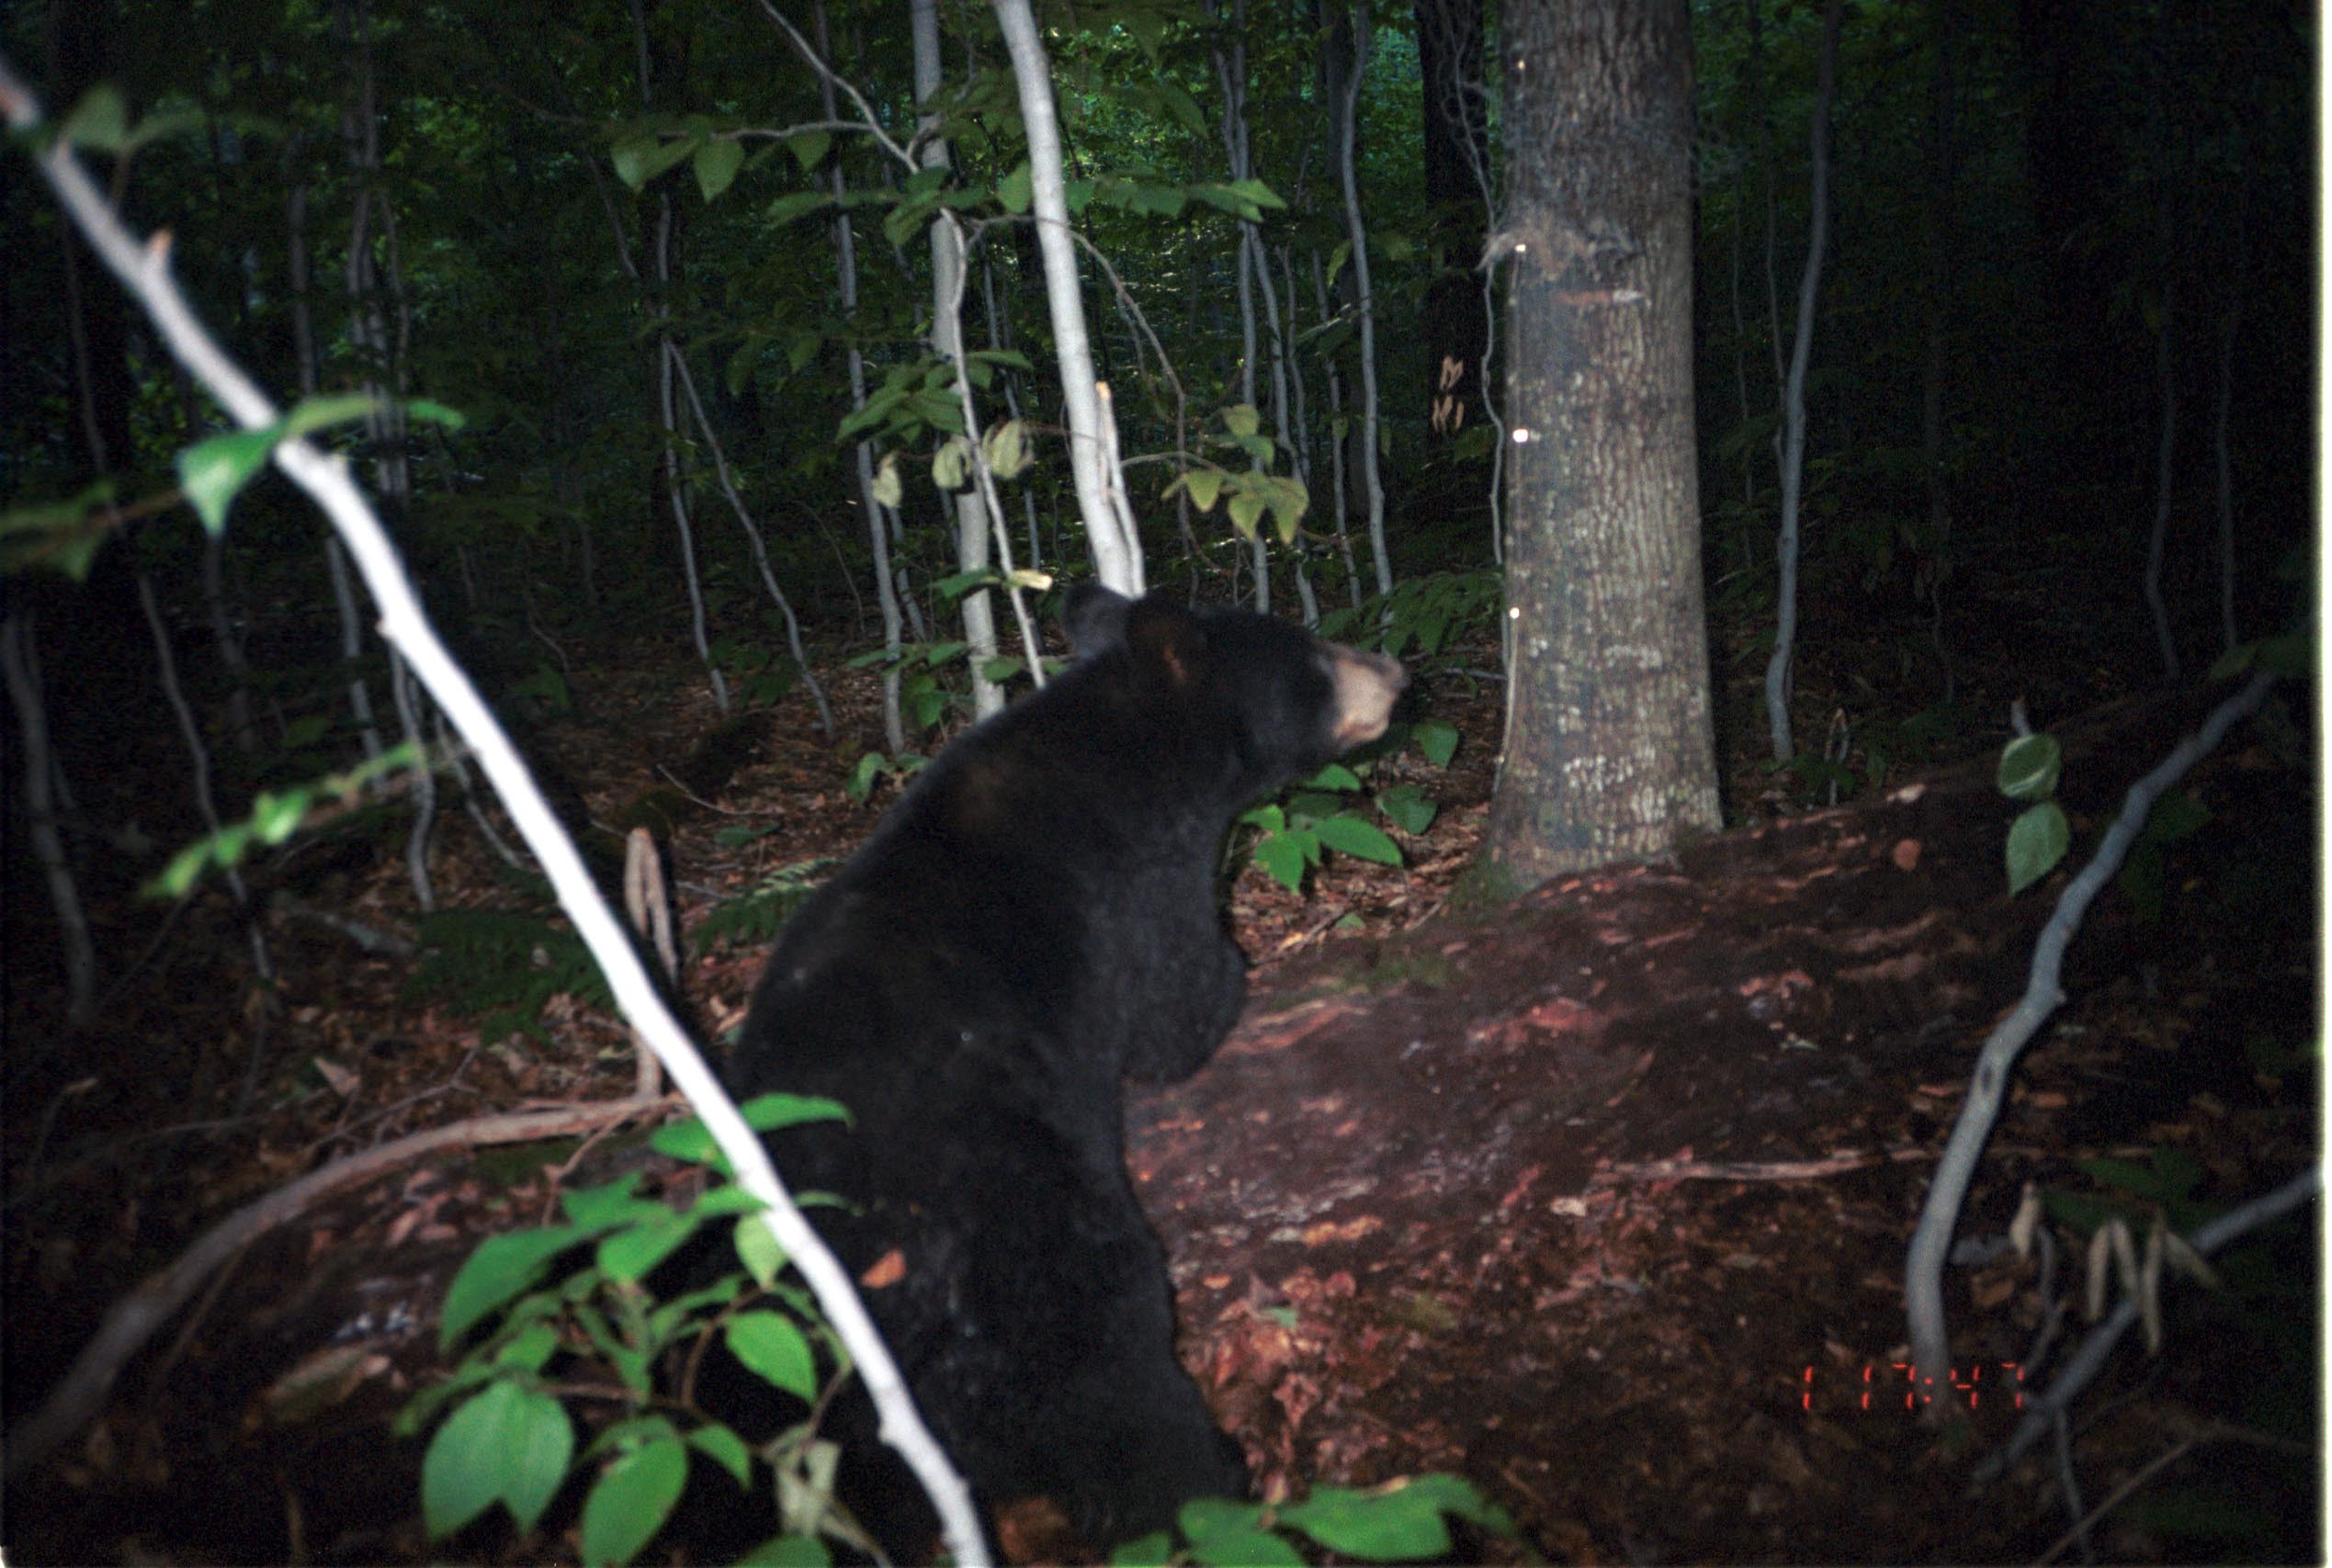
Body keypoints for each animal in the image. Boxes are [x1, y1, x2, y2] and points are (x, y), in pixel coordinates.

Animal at [731, 587, 1398, 1556]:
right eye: (1311, 655)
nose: (1398, 671)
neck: (1125, 752)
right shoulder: (1139, 896)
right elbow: (1178, 1009)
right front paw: (1233, 975)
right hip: (1040, 1252)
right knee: (1124, 1384)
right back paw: (1215, 1484)